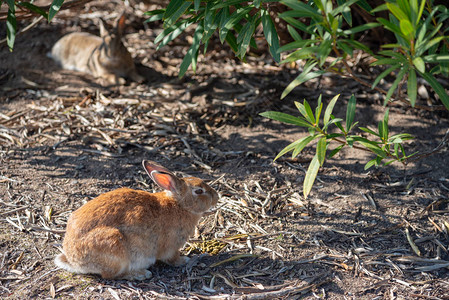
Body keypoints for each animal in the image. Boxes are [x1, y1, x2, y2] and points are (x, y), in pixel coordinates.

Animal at [54, 161, 219, 280]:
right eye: (199, 191)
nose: (216, 197)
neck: (180, 204)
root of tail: (74, 260)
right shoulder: (171, 247)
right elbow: (172, 258)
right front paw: (185, 260)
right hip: (115, 247)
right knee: (111, 275)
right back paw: (140, 274)